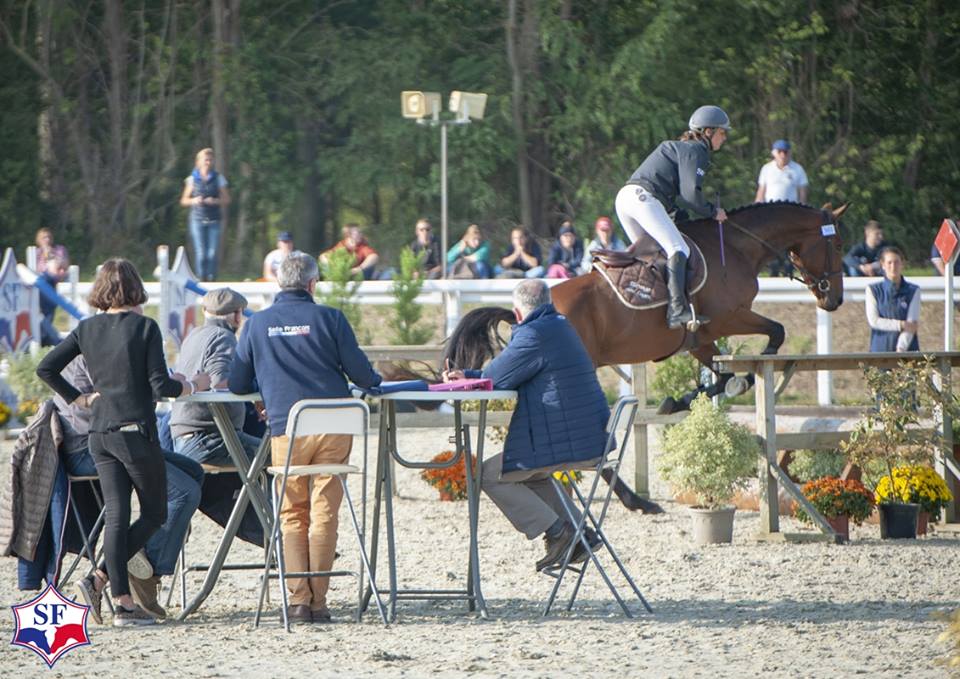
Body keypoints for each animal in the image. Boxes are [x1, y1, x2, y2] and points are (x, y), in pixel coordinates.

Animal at [442, 202, 848, 510]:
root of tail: (525, 312)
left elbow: (719, 377)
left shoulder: (699, 339)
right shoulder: (729, 318)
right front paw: (748, 374)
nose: (834, 300)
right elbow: (775, 333)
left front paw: (679, 400)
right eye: (839, 247)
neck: (736, 247)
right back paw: (635, 500)